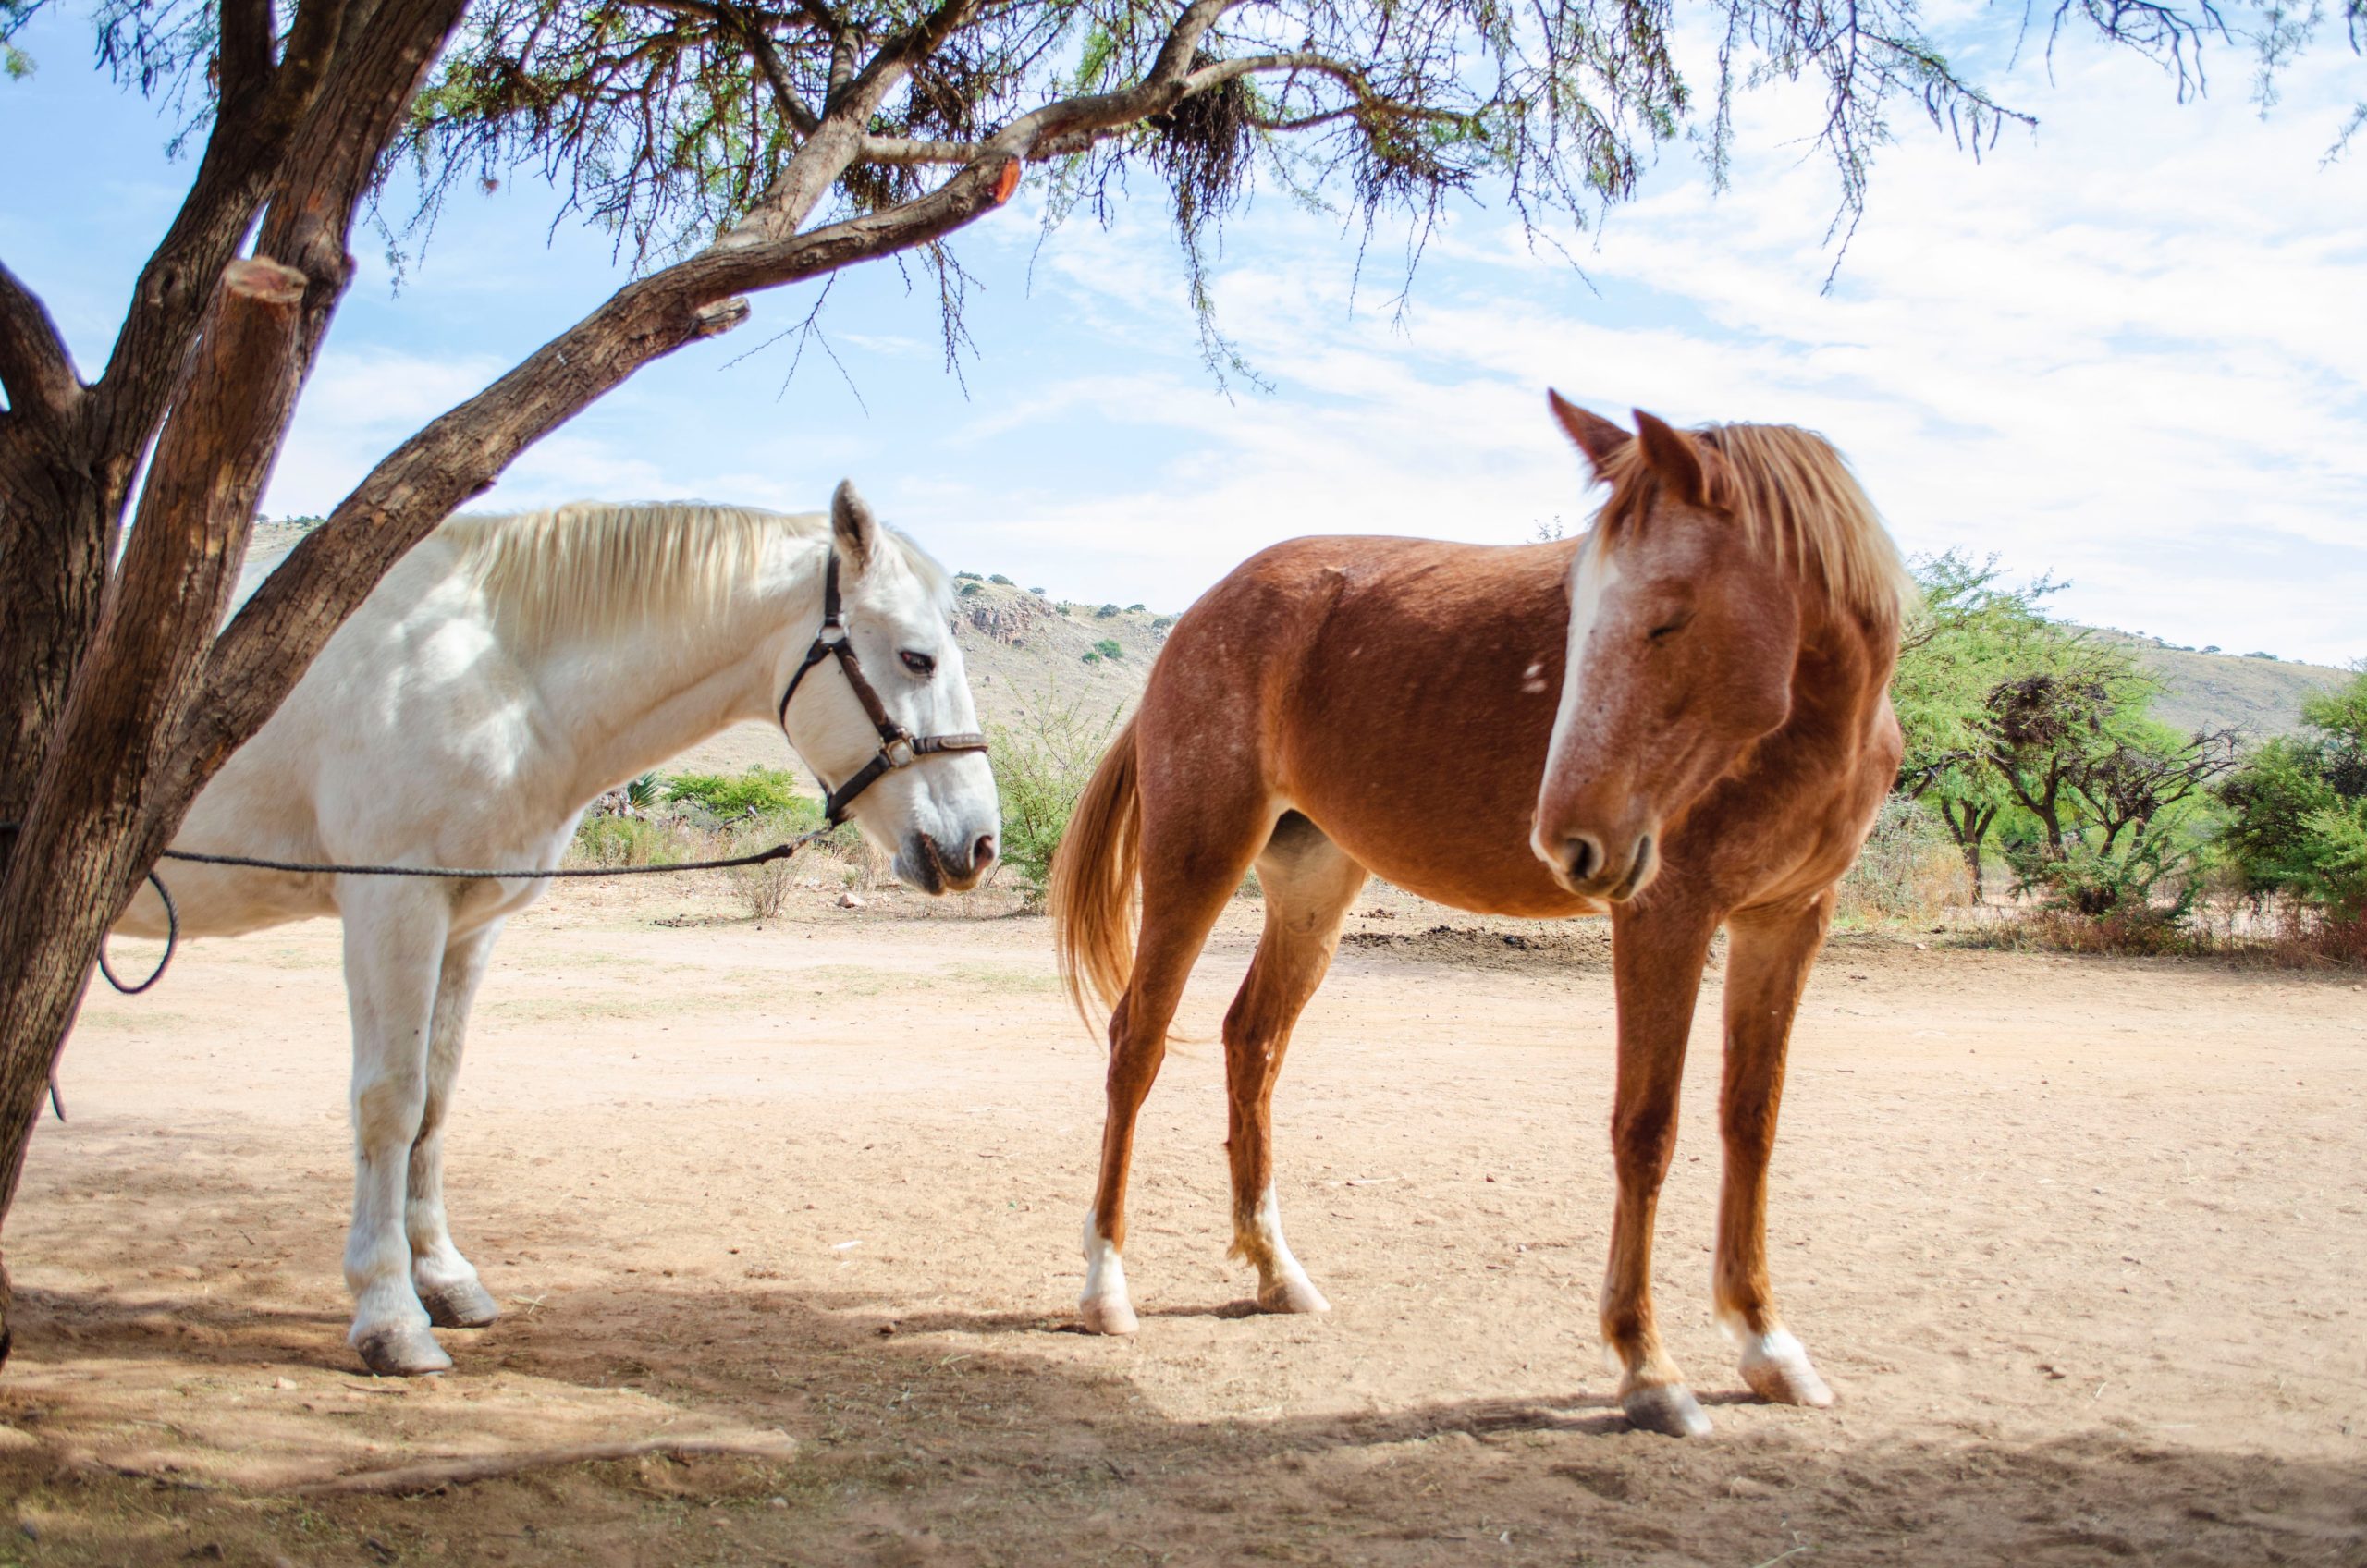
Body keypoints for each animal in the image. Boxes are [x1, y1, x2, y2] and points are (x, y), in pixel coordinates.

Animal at [108, 483, 999, 1373]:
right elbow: (390, 1102)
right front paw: (390, 1314)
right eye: (918, 658)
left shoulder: (465, 927)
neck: (495, 673)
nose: (980, 844)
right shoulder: (392, 907)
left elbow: (436, 1098)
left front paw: (445, 1281)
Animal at [1050, 393, 1903, 1439]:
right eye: (1578, 615)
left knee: (1251, 1040)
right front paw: (1646, 1365)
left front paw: (1767, 1342)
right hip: (1195, 856)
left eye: (1667, 617)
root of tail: (1201, 611)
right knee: (1138, 1038)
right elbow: (1646, 1129)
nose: (1570, 838)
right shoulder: (1667, 913)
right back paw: (1104, 1287)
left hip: (1312, 884)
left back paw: (1276, 1271)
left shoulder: (1788, 920)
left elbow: (1752, 1123)